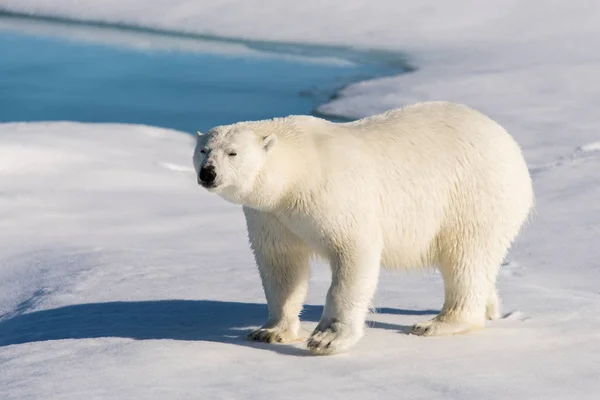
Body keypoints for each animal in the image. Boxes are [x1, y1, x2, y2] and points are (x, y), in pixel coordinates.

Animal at [193, 101, 536, 354]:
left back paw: (437, 323)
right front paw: (270, 331)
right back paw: (491, 308)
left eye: (233, 153)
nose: (208, 173)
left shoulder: (334, 194)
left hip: (473, 195)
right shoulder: (271, 216)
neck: (299, 170)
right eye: (203, 150)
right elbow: (281, 266)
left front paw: (327, 338)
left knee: (465, 257)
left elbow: (352, 254)